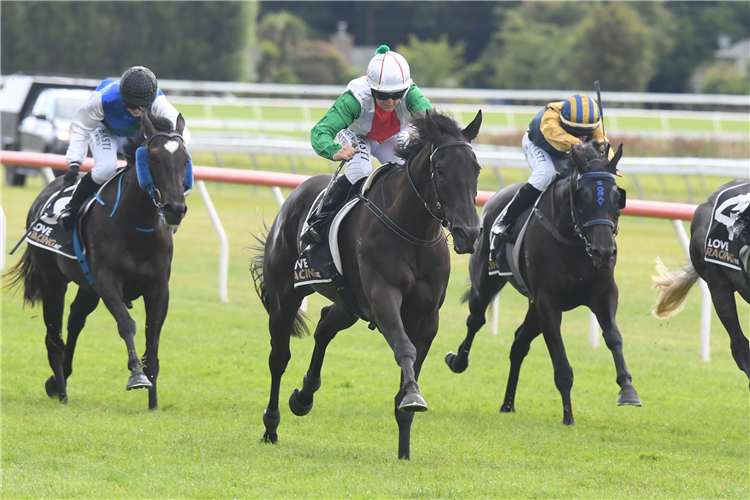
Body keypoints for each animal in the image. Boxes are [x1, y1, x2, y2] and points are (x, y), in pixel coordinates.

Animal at [4, 111, 191, 408]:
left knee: (75, 319)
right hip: (52, 280)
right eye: (153, 157)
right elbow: (127, 324)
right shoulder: (108, 282)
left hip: (86, 286)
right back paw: (62, 392)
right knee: (53, 336)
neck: (137, 224)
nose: (175, 209)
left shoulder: (159, 288)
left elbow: (153, 338)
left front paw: (153, 402)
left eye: (185, 159)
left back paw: (57, 380)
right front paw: (136, 375)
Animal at [250, 110, 484, 460]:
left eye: (476, 169)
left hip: (349, 302)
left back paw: (304, 396)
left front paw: (404, 449)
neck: (412, 231)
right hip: (285, 296)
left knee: (325, 326)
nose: (469, 233)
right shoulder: (383, 298)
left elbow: (410, 367)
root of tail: (296, 193)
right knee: (279, 357)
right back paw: (271, 425)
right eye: (440, 170)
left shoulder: (427, 317)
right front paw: (413, 397)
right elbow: (404, 347)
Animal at [446, 141, 640, 426]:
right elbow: (560, 361)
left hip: (532, 305)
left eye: (618, 196)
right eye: (581, 196)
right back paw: (458, 361)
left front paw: (627, 389)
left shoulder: (603, 294)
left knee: (518, 343)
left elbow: (614, 337)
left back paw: (508, 404)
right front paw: (568, 416)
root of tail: (493, 198)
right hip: (486, 284)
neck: (573, 242)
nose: (604, 252)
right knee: (476, 320)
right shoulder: (548, 303)